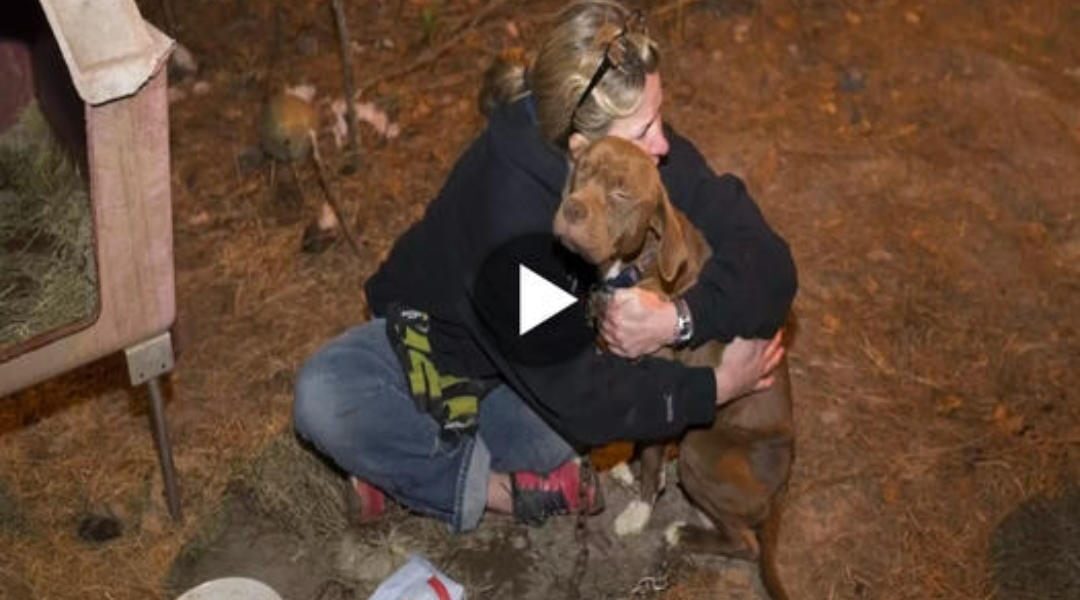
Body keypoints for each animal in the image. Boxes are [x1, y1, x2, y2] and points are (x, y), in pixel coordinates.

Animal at [557, 137, 794, 600]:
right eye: (582, 170)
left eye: (621, 194)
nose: (572, 210)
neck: (635, 266)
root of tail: (783, 487)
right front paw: (614, 460)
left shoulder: (659, 376)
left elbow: (649, 454)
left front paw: (640, 507)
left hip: (701, 450)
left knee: (747, 543)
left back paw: (683, 532)